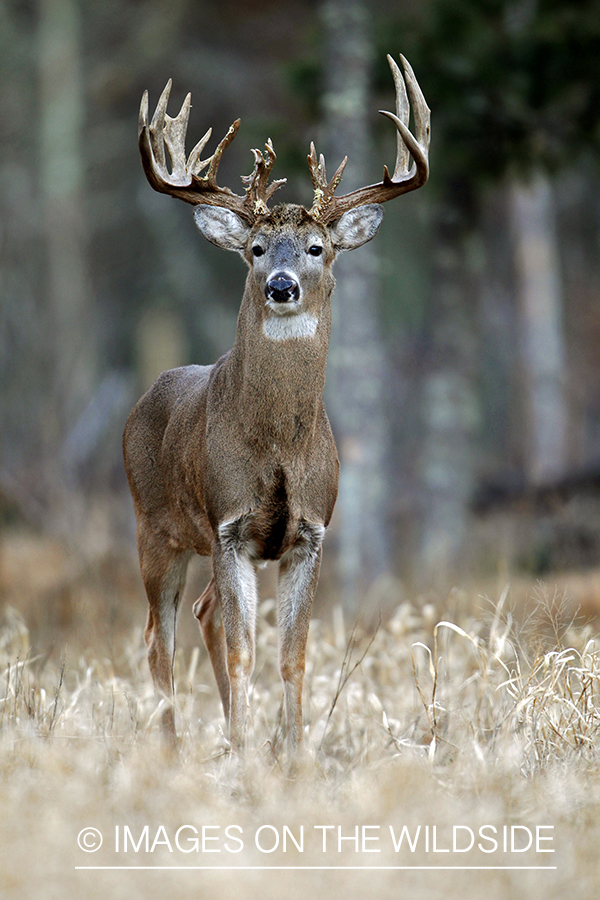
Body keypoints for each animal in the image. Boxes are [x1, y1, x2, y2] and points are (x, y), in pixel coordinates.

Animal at [122, 54, 428, 760]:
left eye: (317, 248)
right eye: (256, 249)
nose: (281, 286)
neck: (280, 445)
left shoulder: (310, 532)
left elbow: (293, 656)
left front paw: (292, 755)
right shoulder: (229, 524)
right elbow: (244, 653)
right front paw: (244, 755)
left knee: (202, 615)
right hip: (155, 526)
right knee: (158, 638)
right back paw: (175, 750)